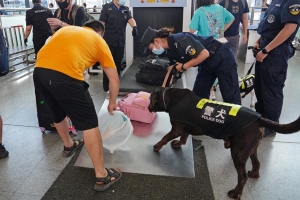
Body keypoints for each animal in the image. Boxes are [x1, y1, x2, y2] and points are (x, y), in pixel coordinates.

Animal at [148, 87, 300, 200]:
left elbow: (165, 138)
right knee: (257, 163)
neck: (171, 98)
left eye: (150, 99)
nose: (148, 108)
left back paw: (235, 193)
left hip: (238, 152)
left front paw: (157, 146)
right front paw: (177, 144)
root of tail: (259, 119)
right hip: (251, 149)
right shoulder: (185, 128)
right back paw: (254, 174)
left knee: (242, 177)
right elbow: (184, 139)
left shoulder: (176, 129)